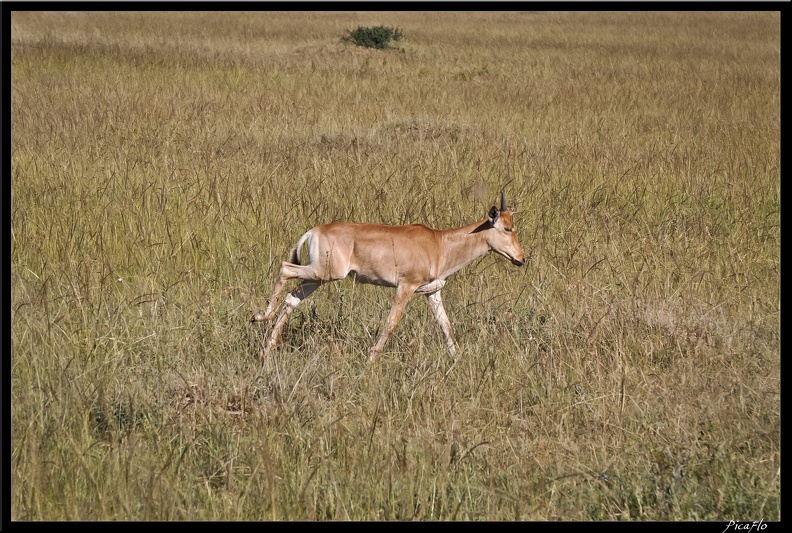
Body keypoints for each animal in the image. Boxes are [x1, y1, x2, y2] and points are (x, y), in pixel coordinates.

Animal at [254, 189, 524, 360]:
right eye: (506, 228)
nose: (521, 259)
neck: (438, 243)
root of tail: (313, 231)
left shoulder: (432, 292)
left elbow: (445, 325)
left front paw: (456, 359)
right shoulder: (406, 287)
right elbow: (391, 321)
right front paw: (372, 357)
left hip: (317, 279)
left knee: (292, 298)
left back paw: (268, 347)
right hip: (326, 273)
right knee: (284, 268)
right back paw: (260, 317)